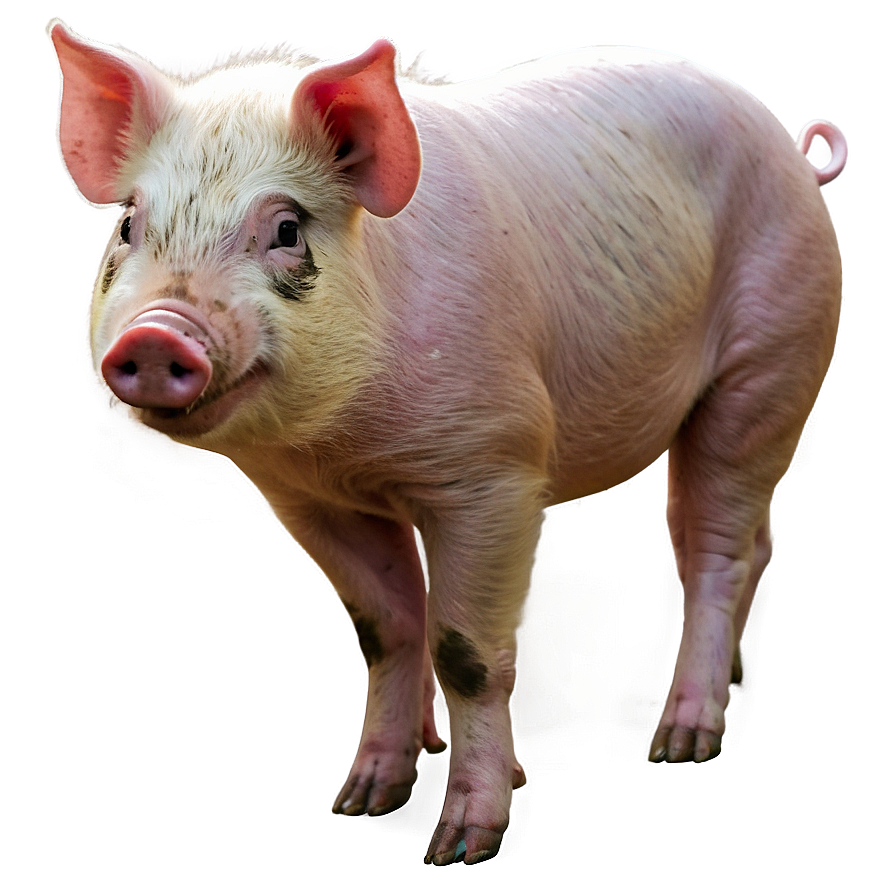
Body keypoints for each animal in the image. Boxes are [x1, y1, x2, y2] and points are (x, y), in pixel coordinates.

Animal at [49, 18, 847, 866]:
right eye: (129, 225)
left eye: (287, 229)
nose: (157, 335)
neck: (346, 447)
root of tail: (791, 146)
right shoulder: (306, 499)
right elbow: (386, 630)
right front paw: (360, 802)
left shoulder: (493, 470)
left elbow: (466, 653)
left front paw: (462, 847)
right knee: (737, 539)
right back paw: (731, 679)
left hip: (769, 364)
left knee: (717, 555)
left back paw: (682, 743)